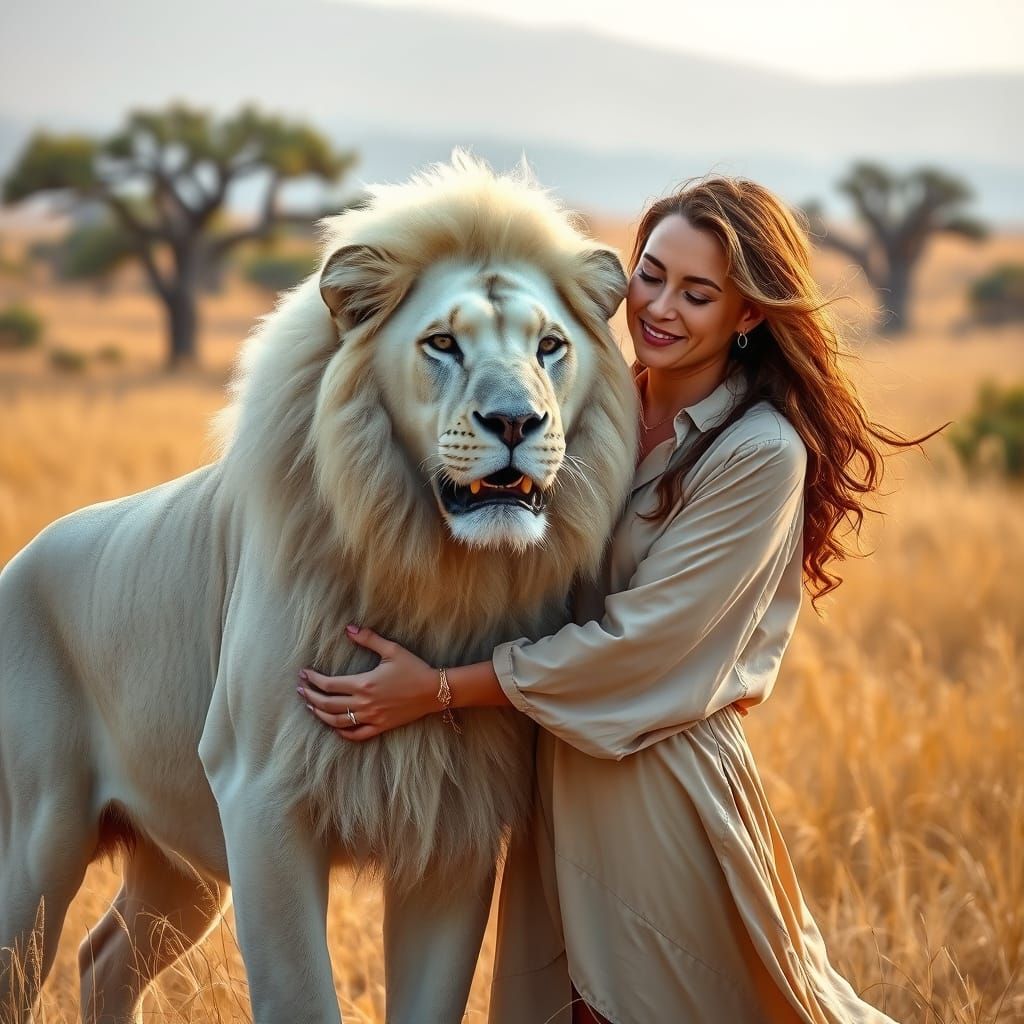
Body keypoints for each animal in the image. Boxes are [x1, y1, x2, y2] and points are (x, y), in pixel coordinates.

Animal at [0, 152, 638, 1023]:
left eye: (550, 345)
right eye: (442, 343)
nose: (516, 423)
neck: (435, 573)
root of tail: (21, 557)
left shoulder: (455, 821)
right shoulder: (260, 797)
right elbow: (301, 994)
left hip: (179, 857)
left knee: (104, 958)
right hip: (38, 836)